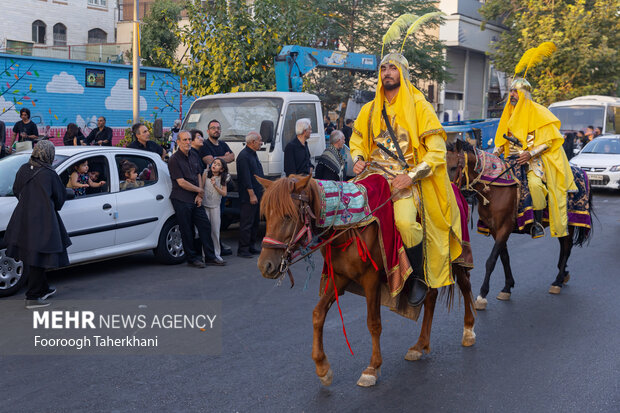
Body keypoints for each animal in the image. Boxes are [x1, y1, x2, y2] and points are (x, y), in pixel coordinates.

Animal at [254, 174, 478, 386]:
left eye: (287, 216)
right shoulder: (340, 278)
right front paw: (323, 368)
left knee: (466, 286)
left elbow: (373, 322)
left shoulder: (371, 280)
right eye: (266, 216)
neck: (348, 225)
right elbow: (318, 314)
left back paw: (468, 331)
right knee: (430, 297)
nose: (265, 265)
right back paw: (420, 344)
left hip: (456, 258)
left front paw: (372, 368)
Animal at [446, 139, 592, 308]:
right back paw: (563, 276)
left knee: (567, 247)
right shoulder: (496, 230)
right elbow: (504, 257)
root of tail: (581, 171)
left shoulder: (504, 228)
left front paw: (482, 295)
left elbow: (491, 260)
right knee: (564, 246)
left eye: (453, 167)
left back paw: (557, 281)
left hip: (567, 221)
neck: (495, 188)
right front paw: (507, 287)